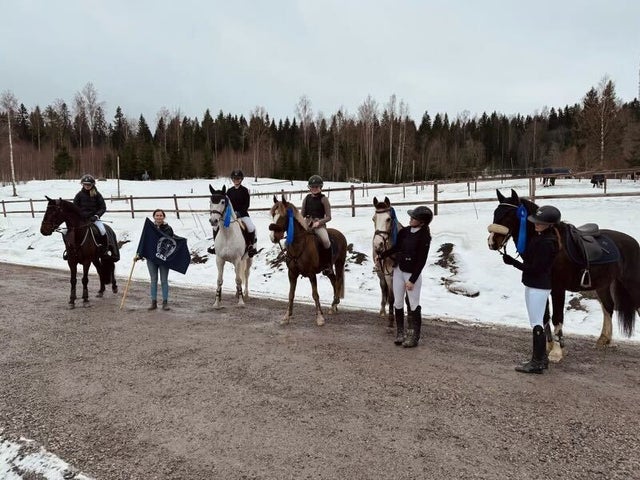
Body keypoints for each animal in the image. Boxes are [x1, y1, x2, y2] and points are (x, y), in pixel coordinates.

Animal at [270, 195, 350, 326]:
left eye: (283, 216)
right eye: (273, 215)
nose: (273, 237)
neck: (299, 244)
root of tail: (340, 234)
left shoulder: (312, 274)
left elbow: (315, 295)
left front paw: (320, 318)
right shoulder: (292, 274)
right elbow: (291, 294)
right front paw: (286, 316)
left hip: (339, 263)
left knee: (338, 281)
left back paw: (334, 304)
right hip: (327, 269)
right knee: (333, 280)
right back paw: (334, 305)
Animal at [488, 188, 636, 360]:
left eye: (509, 214)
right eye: (496, 213)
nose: (491, 242)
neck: (553, 246)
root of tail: (633, 242)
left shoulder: (558, 288)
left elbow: (557, 318)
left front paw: (557, 352)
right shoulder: (542, 287)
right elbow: (545, 317)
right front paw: (548, 346)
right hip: (602, 285)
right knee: (608, 307)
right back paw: (604, 339)